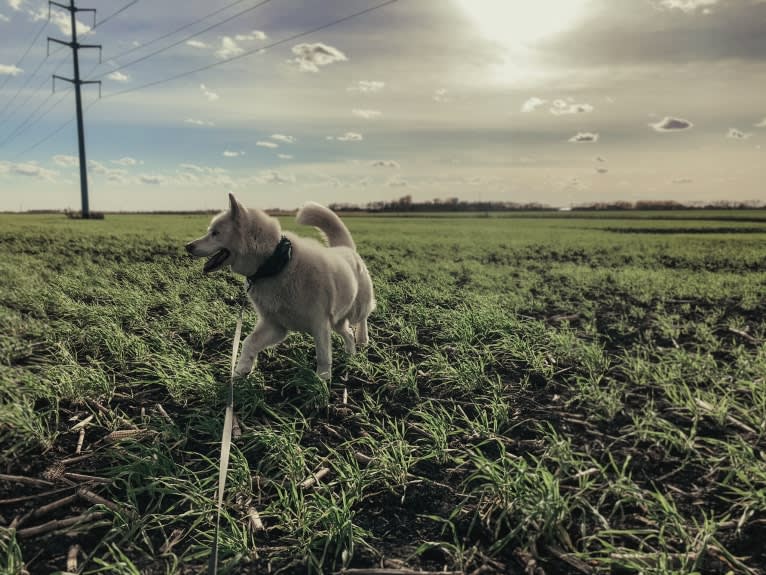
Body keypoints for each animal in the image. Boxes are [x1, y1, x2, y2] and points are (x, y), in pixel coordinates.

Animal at [187, 195, 378, 382]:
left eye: (215, 233)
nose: (188, 246)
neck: (276, 265)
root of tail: (346, 248)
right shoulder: (275, 325)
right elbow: (248, 342)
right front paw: (241, 371)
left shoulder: (319, 324)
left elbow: (323, 355)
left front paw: (322, 381)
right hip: (337, 321)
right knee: (348, 332)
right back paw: (350, 355)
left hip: (357, 309)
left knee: (363, 318)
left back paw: (363, 339)